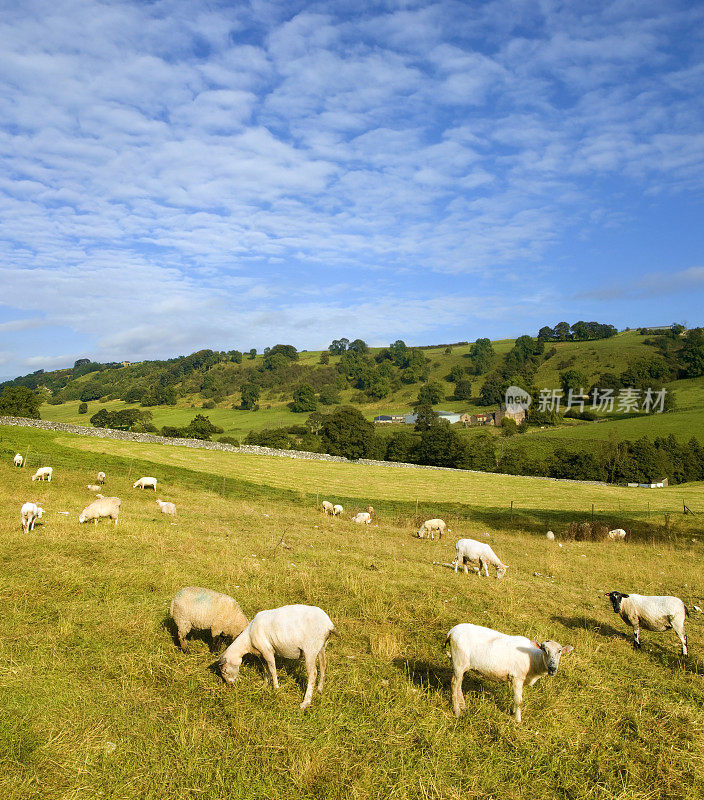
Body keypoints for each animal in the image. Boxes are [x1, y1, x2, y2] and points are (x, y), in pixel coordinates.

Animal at [448, 620, 576, 720]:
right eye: (544, 649)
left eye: (560, 651)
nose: (552, 668)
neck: (533, 659)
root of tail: (451, 632)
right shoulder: (517, 677)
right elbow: (519, 700)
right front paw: (517, 720)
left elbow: (516, 699)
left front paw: (514, 712)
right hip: (459, 661)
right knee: (454, 684)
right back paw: (457, 712)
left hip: (463, 665)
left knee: (459, 684)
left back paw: (463, 706)